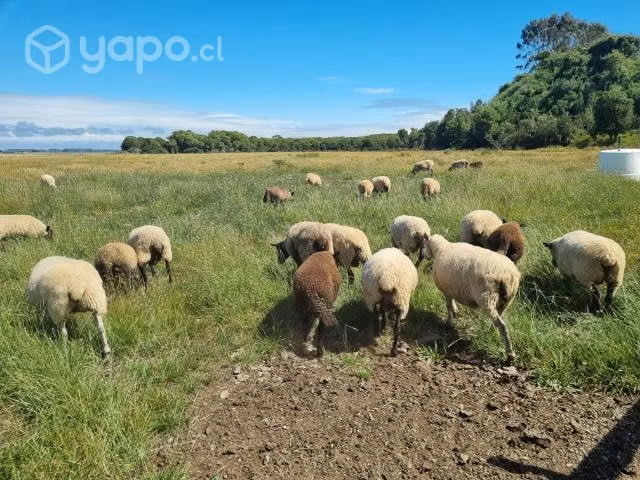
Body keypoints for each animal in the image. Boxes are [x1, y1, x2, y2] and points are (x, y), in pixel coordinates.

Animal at [424, 234, 521, 363]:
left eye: (424, 244)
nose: (424, 255)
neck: (441, 248)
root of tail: (507, 275)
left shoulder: (446, 289)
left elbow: (448, 306)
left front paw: (449, 322)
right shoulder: (451, 287)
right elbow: (452, 302)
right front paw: (455, 311)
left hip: (487, 298)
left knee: (502, 326)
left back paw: (510, 355)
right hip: (506, 301)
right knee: (498, 321)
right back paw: (490, 332)